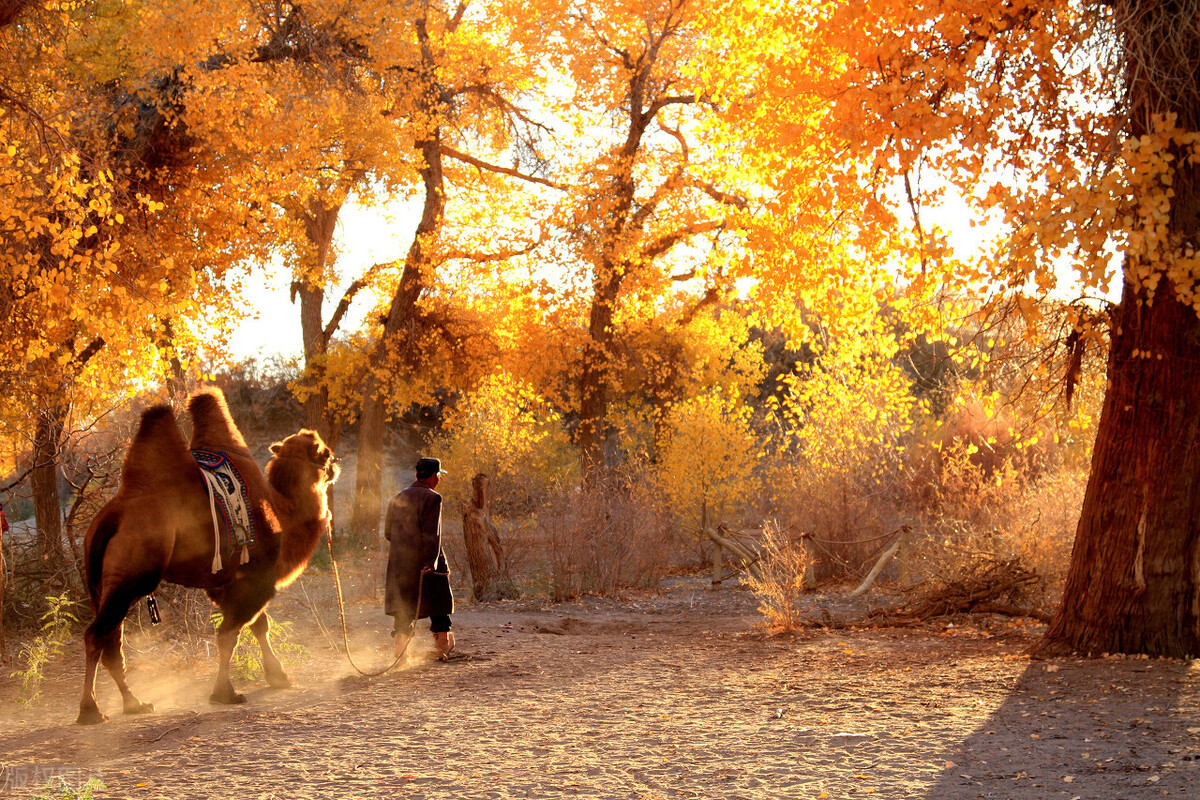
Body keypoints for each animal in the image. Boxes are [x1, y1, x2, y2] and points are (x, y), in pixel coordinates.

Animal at [75, 388, 340, 724]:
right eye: (325, 453)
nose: (336, 464)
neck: (283, 511)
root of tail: (111, 518)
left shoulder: (225, 583)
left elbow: (257, 626)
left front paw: (278, 676)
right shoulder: (257, 578)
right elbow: (230, 633)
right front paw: (225, 693)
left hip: (100, 584)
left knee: (112, 641)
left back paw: (134, 703)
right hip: (130, 578)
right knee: (96, 635)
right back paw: (90, 709)